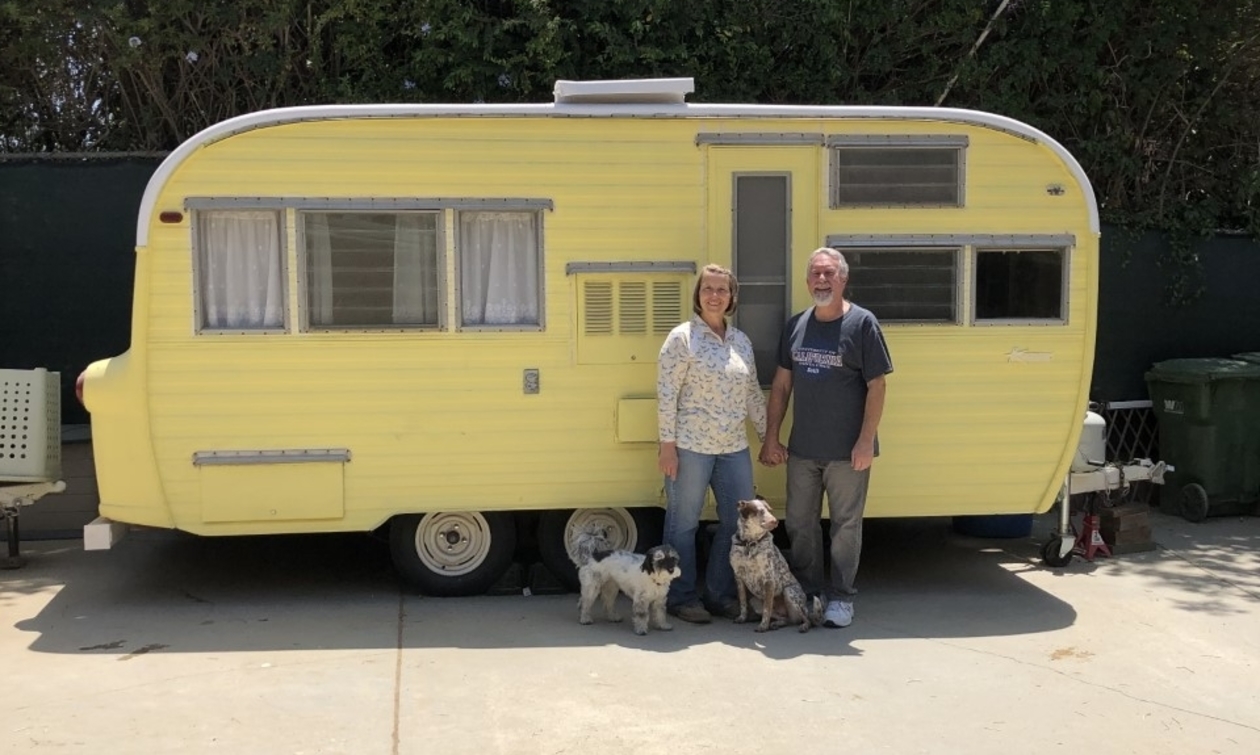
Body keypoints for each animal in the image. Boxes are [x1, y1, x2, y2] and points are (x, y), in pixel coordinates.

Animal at [725, 496, 821, 632]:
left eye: (770, 510)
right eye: (759, 511)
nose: (775, 521)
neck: (750, 543)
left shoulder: (768, 578)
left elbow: (767, 608)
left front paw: (763, 626)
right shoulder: (738, 577)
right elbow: (743, 602)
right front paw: (742, 618)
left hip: (789, 593)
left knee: (806, 619)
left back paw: (804, 626)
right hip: (755, 601)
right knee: (786, 619)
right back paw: (776, 624)